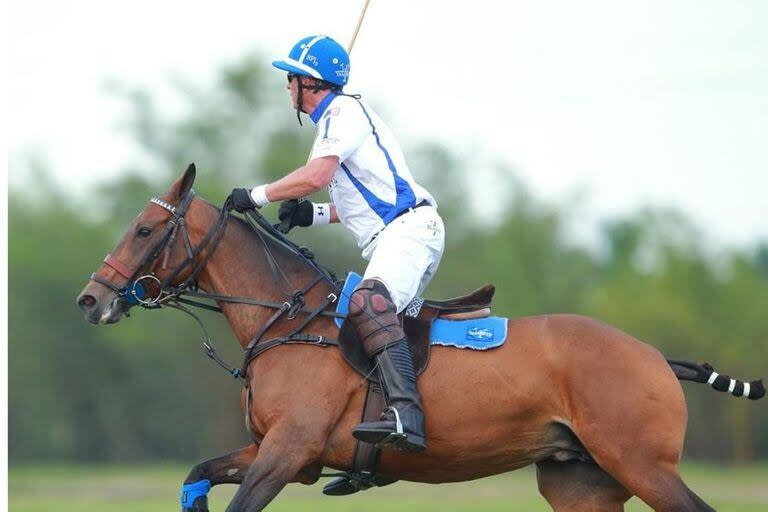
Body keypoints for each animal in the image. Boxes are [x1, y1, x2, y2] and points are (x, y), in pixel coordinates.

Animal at [78, 166, 760, 510]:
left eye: (144, 230)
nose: (91, 299)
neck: (289, 321)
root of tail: (655, 358)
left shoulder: (288, 451)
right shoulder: (284, 455)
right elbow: (196, 473)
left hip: (642, 464)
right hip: (580, 483)